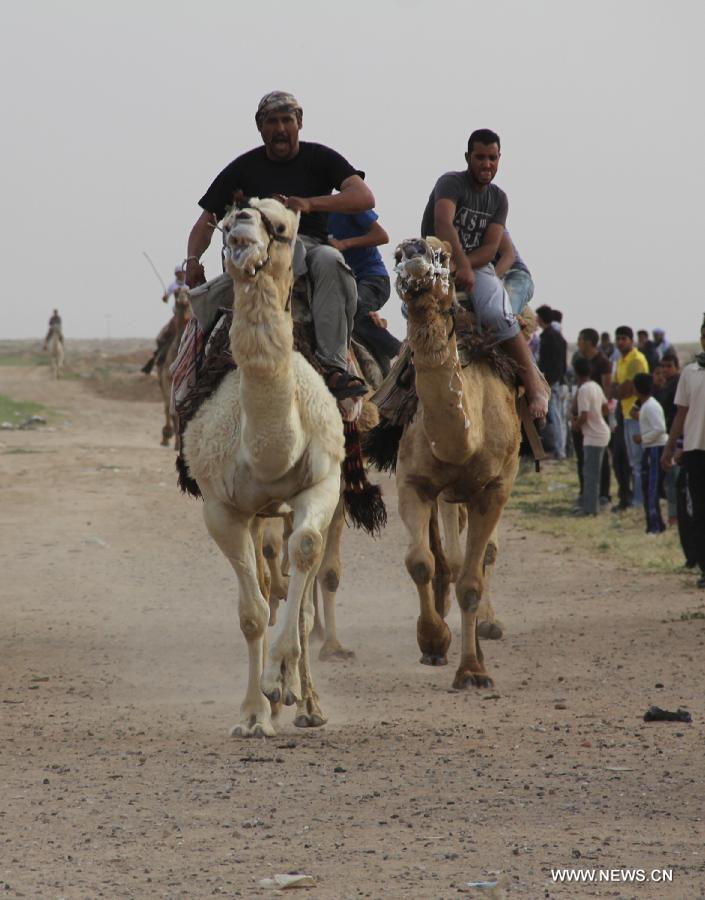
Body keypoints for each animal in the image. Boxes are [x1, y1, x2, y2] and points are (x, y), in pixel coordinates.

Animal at [182, 199, 344, 740]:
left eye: (282, 227)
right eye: (227, 218)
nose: (240, 231)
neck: (271, 450)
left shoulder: (323, 483)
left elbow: (307, 555)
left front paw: (281, 679)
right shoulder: (221, 507)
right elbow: (252, 615)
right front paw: (253, 714)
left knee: (304, 594)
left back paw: (307, 703)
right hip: (255, 513)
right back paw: (273, 707)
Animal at [394, 237, 520, 688]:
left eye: (443, 255)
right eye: (395, 255)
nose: (414, 253)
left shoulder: (494, 489)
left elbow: (471, 581)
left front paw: (472, 671)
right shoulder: (413, 482)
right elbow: (421, 563)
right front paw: (433, 642)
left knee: (479, 560)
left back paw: (486, 631)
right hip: (449, 495)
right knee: (448, 556)